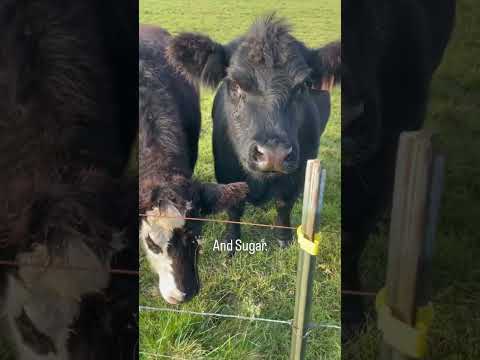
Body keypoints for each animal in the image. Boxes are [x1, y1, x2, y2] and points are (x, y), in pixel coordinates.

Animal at [167, 14, 340, 253]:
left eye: (303, 85)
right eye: (234, 83)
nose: (273, 154)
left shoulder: (297, 173)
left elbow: (284, 205)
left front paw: (283, 239)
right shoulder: (226, 169)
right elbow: (234, 206)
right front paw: (231, 242)